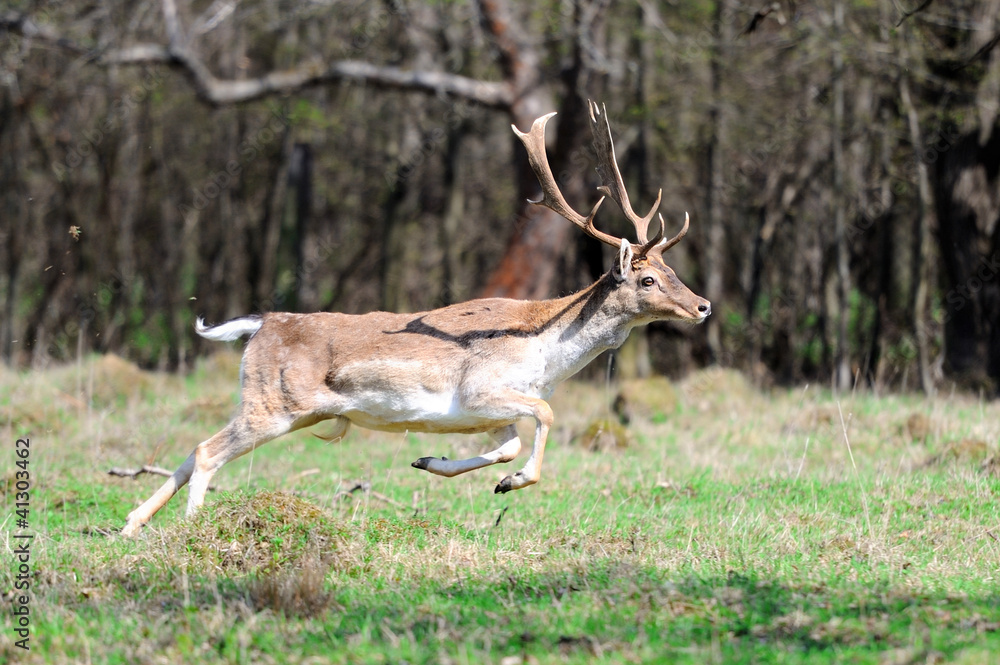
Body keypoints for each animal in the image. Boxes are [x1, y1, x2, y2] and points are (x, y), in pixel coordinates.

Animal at [119, 101, 712, 536]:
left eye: (670, 267)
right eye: (647, 279)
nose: (704, 305)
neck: (544, 353)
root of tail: (259, 325)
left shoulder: (484, 411)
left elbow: (508, 442)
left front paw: (439, 464)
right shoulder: (482, 387)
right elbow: (542, 416)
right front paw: (518, 480)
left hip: (280, 407)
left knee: (193, 451)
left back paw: (130, 524)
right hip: (275, 404)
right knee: (206, 451)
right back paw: (193, 529)